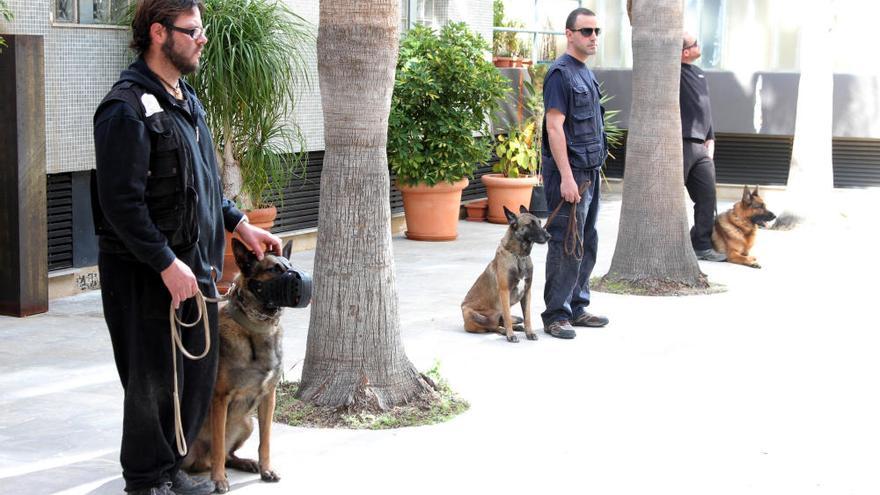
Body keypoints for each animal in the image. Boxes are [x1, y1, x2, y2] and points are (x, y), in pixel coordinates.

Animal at [182, 239, 292, 492]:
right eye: (273, 269)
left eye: (290, 266)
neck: (257, 329)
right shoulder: (220, 399)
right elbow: (219, 446)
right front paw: (218, 480)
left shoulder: (269, 397)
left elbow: (265, 441)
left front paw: (266, 469)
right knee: (214, 455)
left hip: (247, 422)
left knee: (229, 455)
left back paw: (246, 463)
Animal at [460, 204, 552, 340]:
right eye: (530, 224)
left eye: (540, 222)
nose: (549, 236)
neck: (519, 256)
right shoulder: (505, 292)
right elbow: (508, 317)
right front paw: (510, 335)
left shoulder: (527, 292)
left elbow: (527, 317)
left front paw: (529, 333)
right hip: (472, 313)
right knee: (492, 326)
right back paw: (505, 331)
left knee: (499, 322)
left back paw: (517, 327)